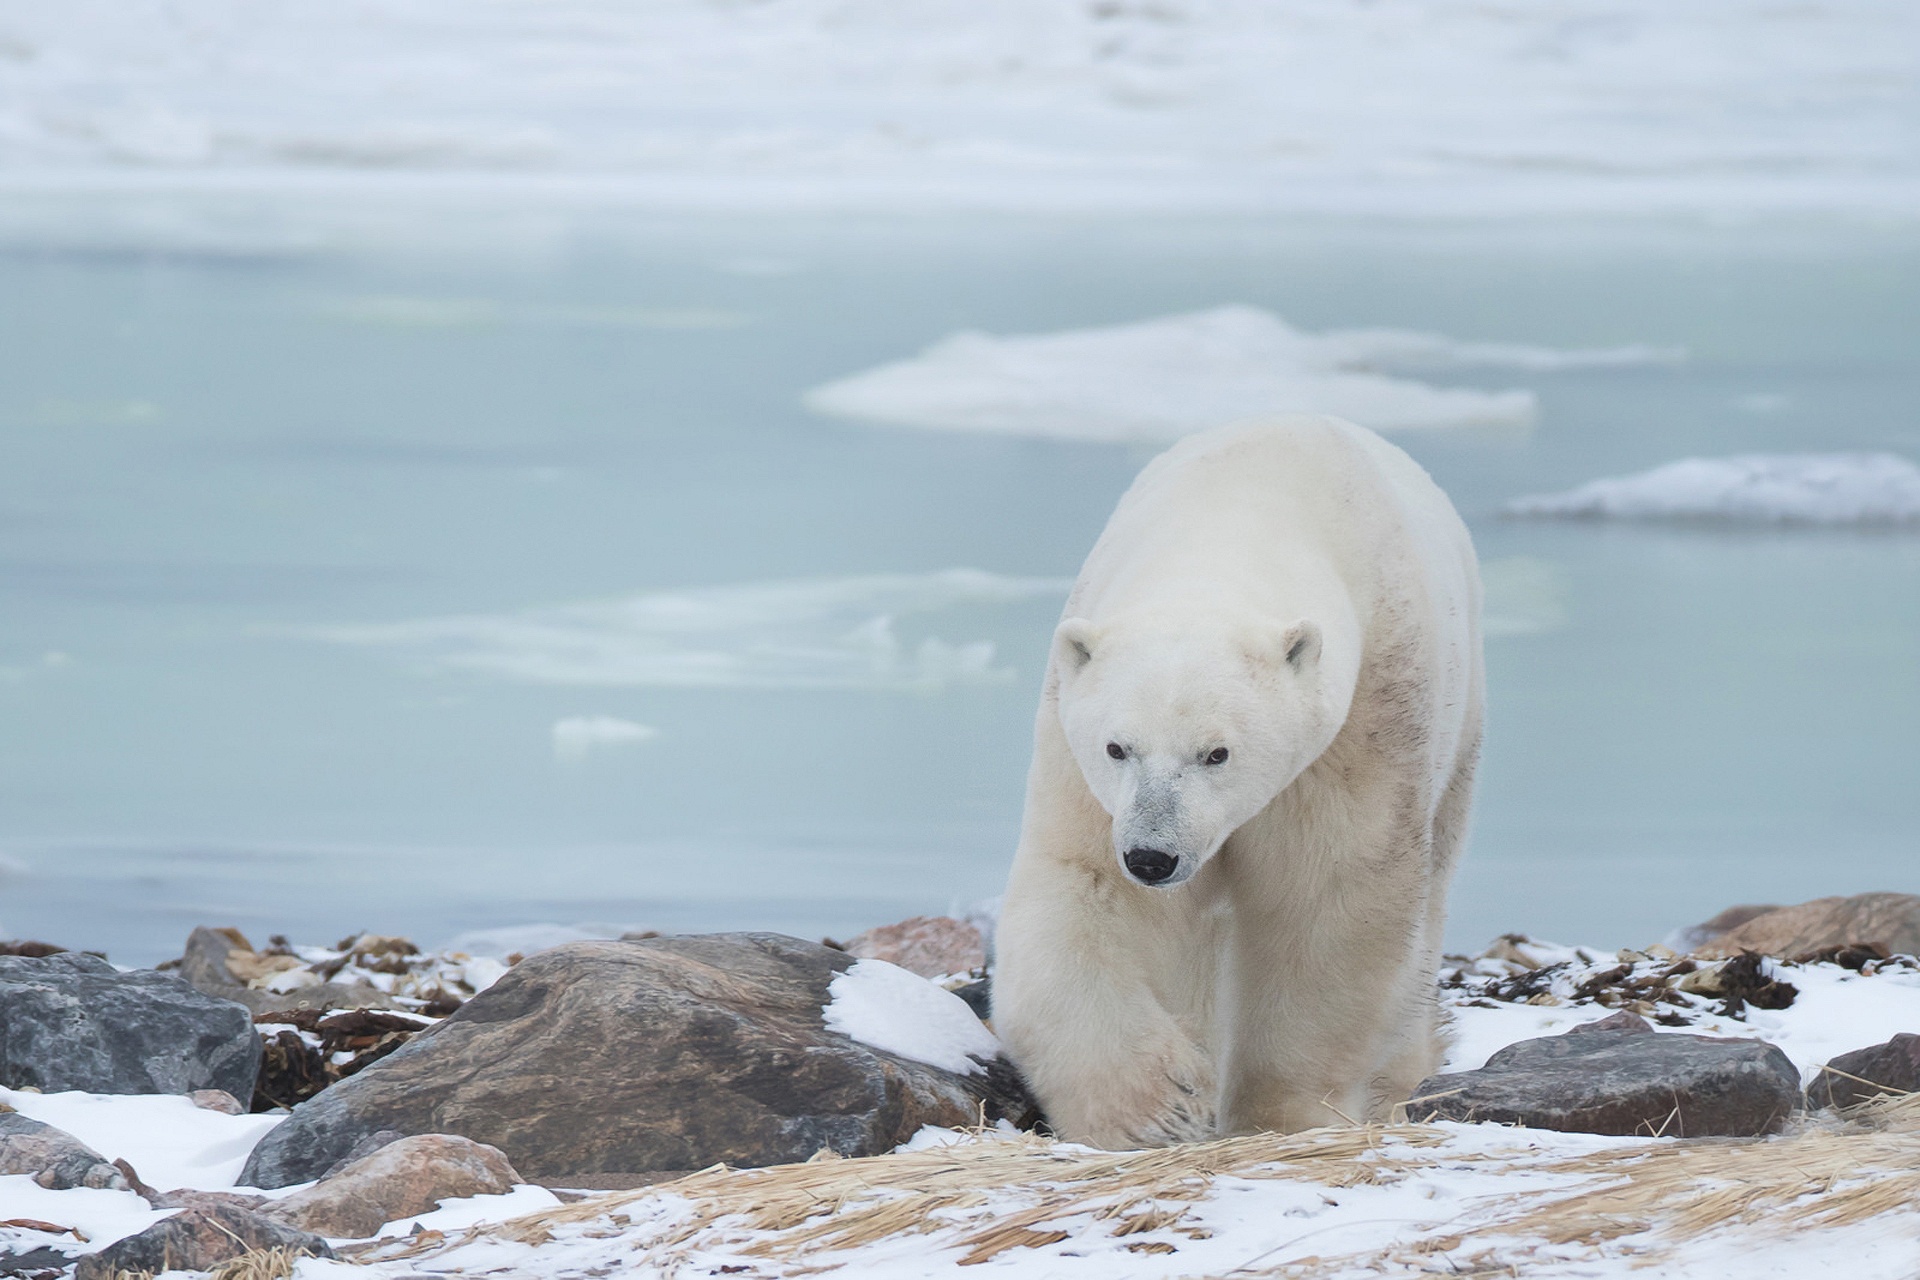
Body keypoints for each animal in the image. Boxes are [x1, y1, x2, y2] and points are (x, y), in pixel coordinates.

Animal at [990, 416, 1482, 1143]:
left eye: (1217, 753)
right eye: (1117, 747)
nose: (1153, 857)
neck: (1236, 515)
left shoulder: (1362, 727)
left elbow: (1326, 901)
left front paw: (1278, 1113)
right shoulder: (1076, 762)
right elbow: (1085, 887)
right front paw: (1160, 1110)